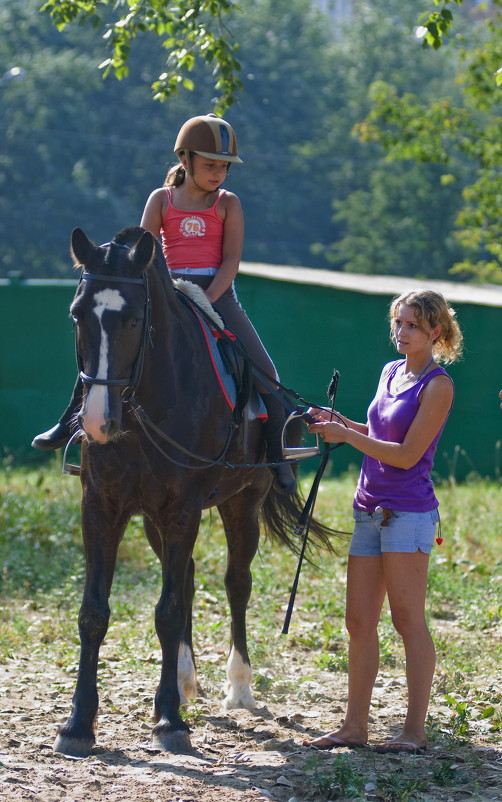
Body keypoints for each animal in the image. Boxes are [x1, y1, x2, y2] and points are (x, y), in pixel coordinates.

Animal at [54, 225, 334, 756]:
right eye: (77, 314)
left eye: (134, 318)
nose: (97, 422)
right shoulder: (101, 506)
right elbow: (94, 612)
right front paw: (78, 724)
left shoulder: (182, 507)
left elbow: (167, 612)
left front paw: (169, 721)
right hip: (153, 520)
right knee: (183, 580)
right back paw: (185, 680)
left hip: (240, 504)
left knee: (235, 583)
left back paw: (238, 687)